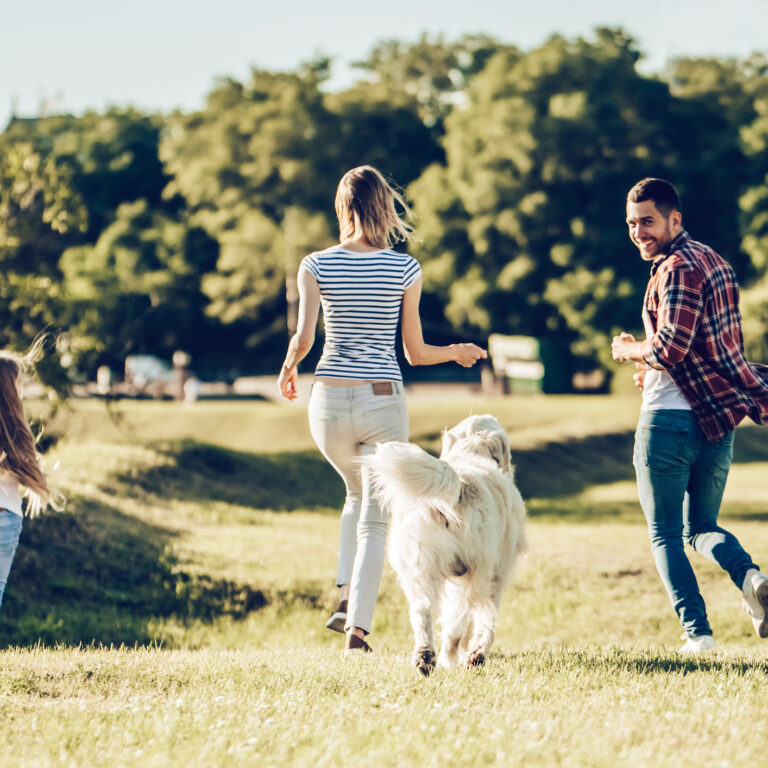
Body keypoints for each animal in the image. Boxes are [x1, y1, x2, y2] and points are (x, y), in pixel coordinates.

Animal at [364, 414, 524, 672]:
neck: (470, 451)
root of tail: (459, 484)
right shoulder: (497, 573)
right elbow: (485, 620)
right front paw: (476, 653)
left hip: (418, 568)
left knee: (422, 611)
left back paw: (425, 658)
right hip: (476, 572)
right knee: (459, 620)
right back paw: (453, 656)